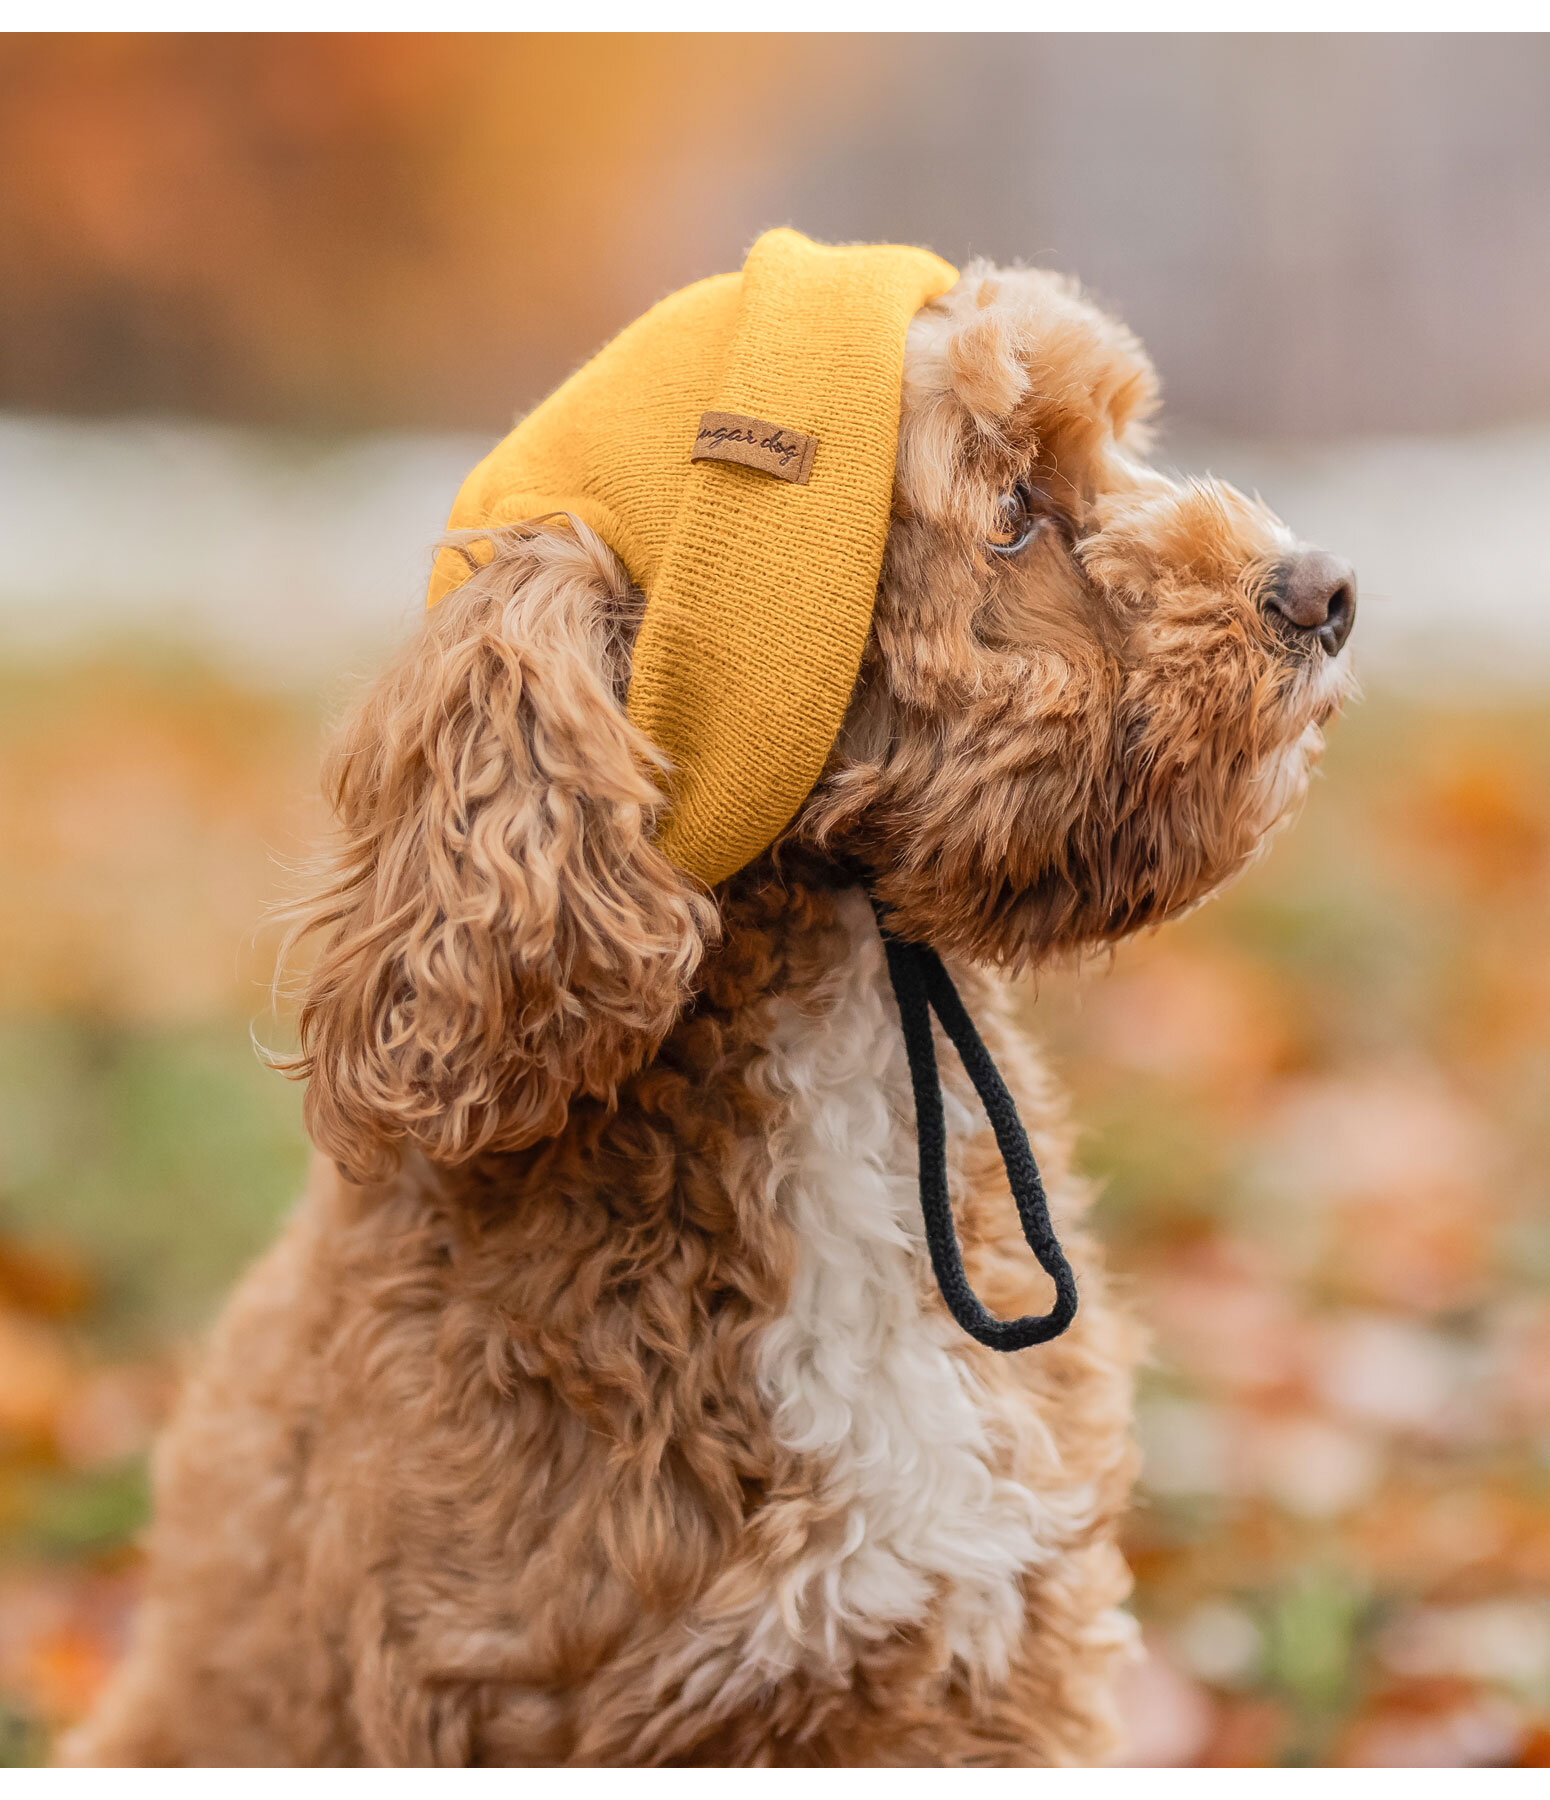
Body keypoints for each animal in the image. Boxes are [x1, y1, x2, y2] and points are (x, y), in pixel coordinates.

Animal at [75, 232, 1353, 1764]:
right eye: (1007, 514)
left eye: (1117, 446)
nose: (1326, 587)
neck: (838, 1011)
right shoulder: (503, 1691)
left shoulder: (986, 1662)